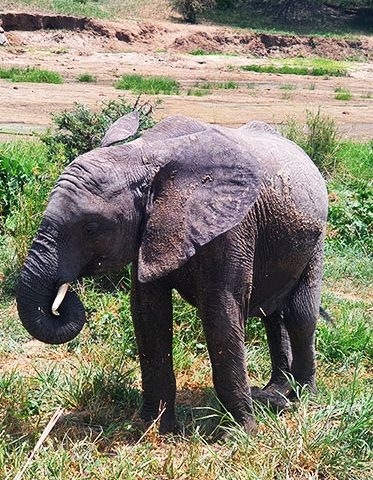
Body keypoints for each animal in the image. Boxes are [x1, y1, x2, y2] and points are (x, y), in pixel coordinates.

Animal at [16, 112, 326, 436]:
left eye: (90, 228)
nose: (61, 300)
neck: (140, 156)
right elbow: (147, 313)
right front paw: (154, 427)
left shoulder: (232, 227)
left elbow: (220, 312)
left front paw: (240, 434)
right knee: (272, 315)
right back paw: (273, 393)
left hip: (315, 240)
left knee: (301, 314)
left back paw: (301, 397)